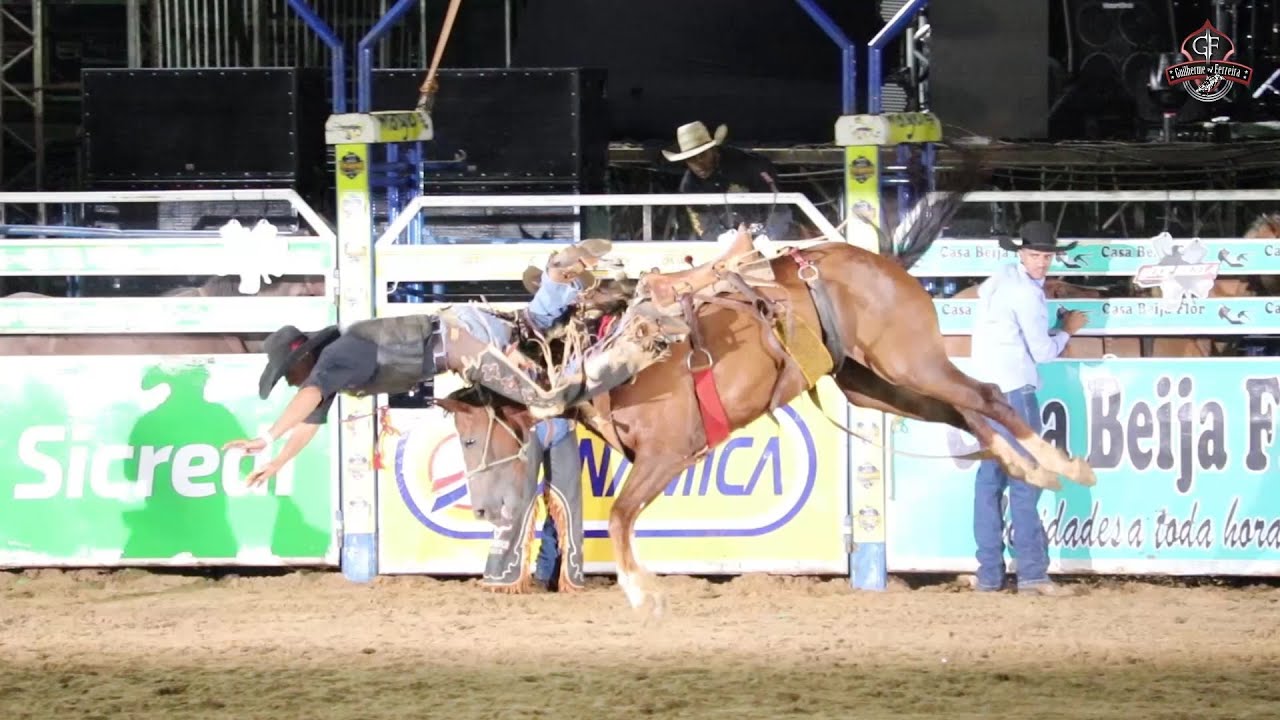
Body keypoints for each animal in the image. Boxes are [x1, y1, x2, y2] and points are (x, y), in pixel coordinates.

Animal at [435, 185, 1095, 609]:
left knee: (988, 393)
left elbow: (620, 516)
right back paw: (1028, 467)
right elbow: (621, 517)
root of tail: (884, 262)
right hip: (875, 384)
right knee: (964, 410)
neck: (595, 351)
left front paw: (641, 591)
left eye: (468, 437)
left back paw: (1062, 465)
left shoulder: (667, 455)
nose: (482, 511)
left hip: (911, 360)